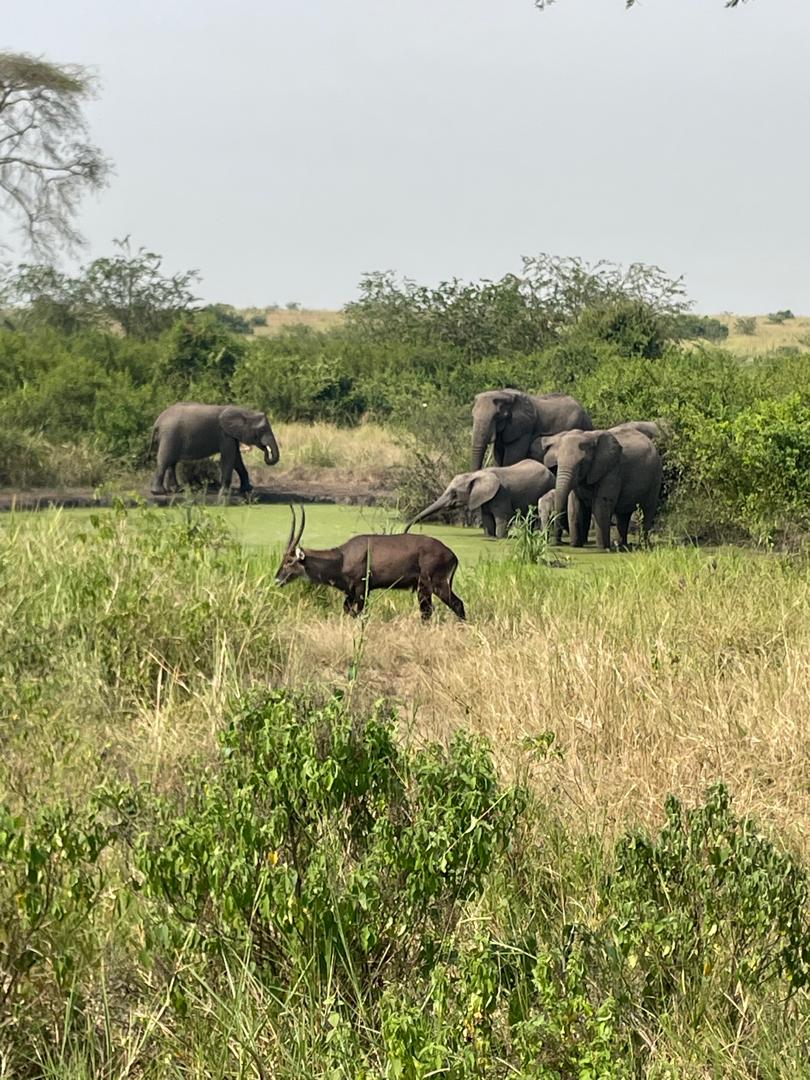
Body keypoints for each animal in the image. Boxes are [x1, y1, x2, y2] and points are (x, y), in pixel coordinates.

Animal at [150, 402, 279, 496]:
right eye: (262, 429)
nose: (266, 450)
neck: (245, 411)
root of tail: (157, 421)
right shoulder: (225, 435)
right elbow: (229, 458)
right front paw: (226, 494)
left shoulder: (231, 435)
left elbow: (237, 460)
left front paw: (247, 490)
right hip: (169, 436)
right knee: (164, 461)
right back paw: (158, 492)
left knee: (172, 463)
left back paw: (177, 490)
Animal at [405, 460, 555, 539]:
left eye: (454, 493)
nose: (405, 532)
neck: (475, 474)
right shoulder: (486, 498)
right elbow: (487, 519)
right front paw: (490, 537)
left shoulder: (501, 494)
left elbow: (503, 517)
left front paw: (500, 538)